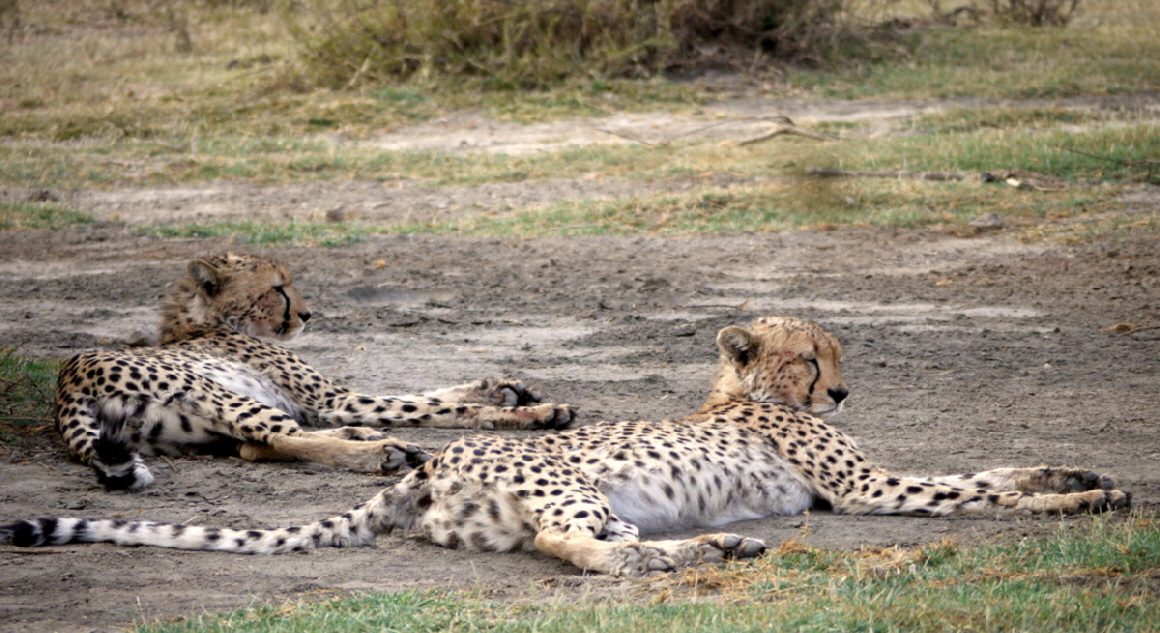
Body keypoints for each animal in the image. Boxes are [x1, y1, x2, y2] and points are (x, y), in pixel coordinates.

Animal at [51, 251, 575, 486]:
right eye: (278, 288)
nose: (307, 315)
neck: (203, 323)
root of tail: (68, 381)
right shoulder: (332, 399)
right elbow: (427, 405)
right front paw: (531, 413)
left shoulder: (326, 400)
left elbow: (427, 394)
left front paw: (502, 388)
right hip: (219, 393)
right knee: (281, 439)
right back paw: (383, 451)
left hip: (194, 430)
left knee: (258, 447)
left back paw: (370, 439)